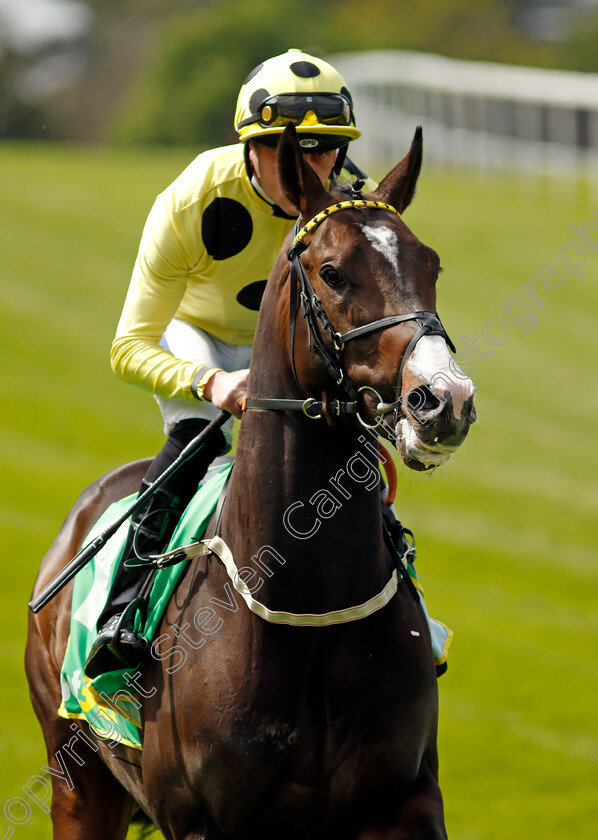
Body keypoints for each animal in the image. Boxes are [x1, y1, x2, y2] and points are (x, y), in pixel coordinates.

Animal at [25, 120, 478, 840]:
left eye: (430, 264)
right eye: (332, 272)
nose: (445, 399)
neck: (308, 610)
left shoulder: (403, 801)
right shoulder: (203, 820)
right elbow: (132, 340)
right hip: (78, 778)